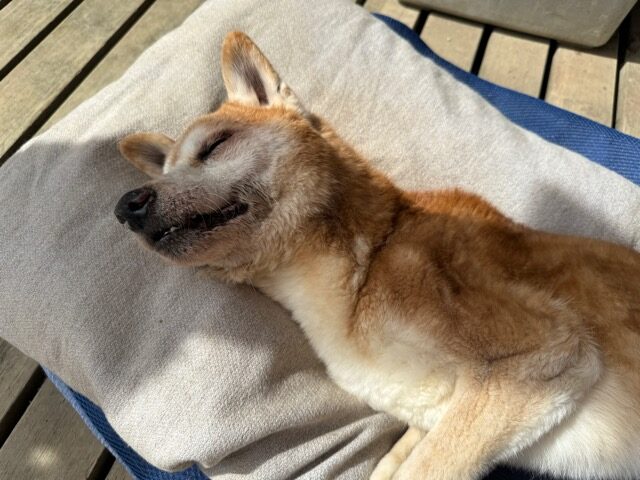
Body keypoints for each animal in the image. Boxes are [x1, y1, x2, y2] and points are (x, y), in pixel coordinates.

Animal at [114, 32, 640, 480]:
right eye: (168, 169)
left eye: (215, 144)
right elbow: (398, 463)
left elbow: (428, 467)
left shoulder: (539, 352)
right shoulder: (435, 415)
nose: (126, 205)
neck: (367, 259)